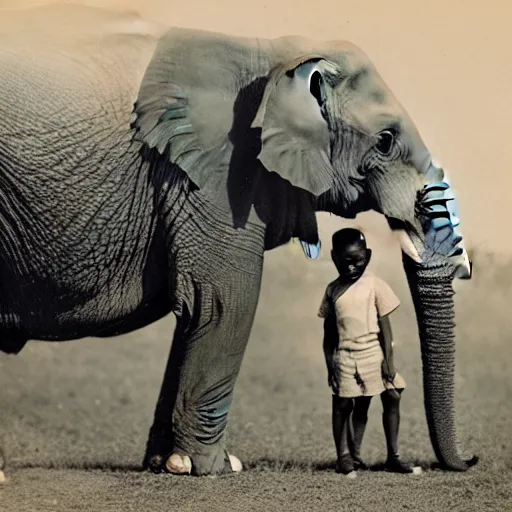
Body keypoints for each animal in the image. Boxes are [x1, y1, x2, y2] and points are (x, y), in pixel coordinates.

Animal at [0, 3, 472, 476]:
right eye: (386, 141)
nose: (470, 458)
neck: (276, 55)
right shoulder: (223, 169)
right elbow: (223, 302)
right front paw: (213, 467)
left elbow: (198, 313)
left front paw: (166, 463)